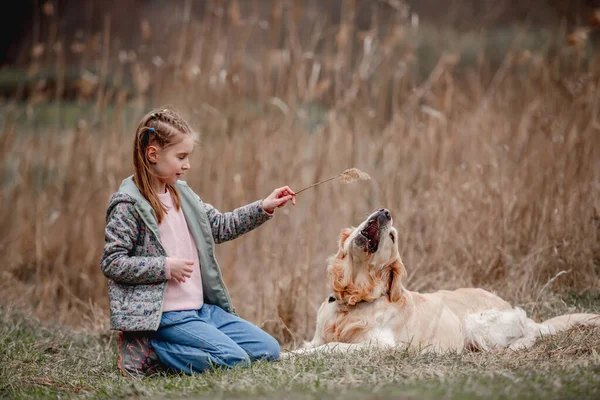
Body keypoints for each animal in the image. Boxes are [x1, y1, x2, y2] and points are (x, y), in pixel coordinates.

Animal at [288, 209, 600, 356]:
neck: (353, 299)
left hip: (478, 323)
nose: (385, 212)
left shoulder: (383, 345)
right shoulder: (318, 335)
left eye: (393, 238)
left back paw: (516, 346)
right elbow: (311, 345)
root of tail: (506, 304)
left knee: (529, 333)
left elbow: (333, 347)